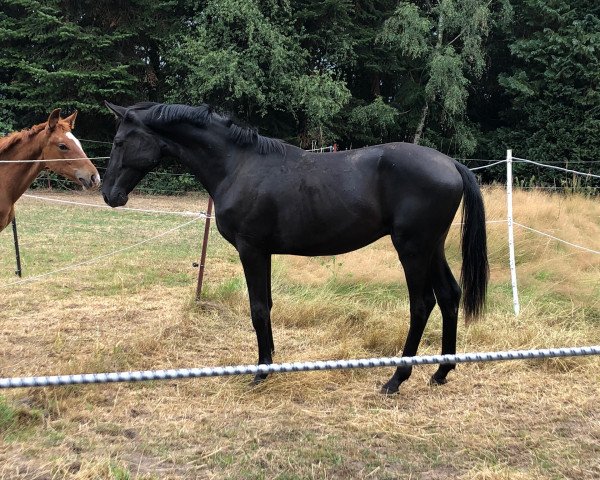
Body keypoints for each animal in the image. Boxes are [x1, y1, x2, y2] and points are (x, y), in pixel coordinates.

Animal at [102, 102, 488, 394]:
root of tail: (451, 164)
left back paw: (396, 379)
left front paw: (261, 371)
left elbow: (258, 308)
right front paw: (270, 361)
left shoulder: (251, 250)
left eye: (120, 141)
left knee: (422, 305)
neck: (238, 166)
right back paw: (440, 372)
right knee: (450, 296)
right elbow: (267, 306)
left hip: (412, 249)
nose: (108, 194)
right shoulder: (263, 253)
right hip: (432, 248)